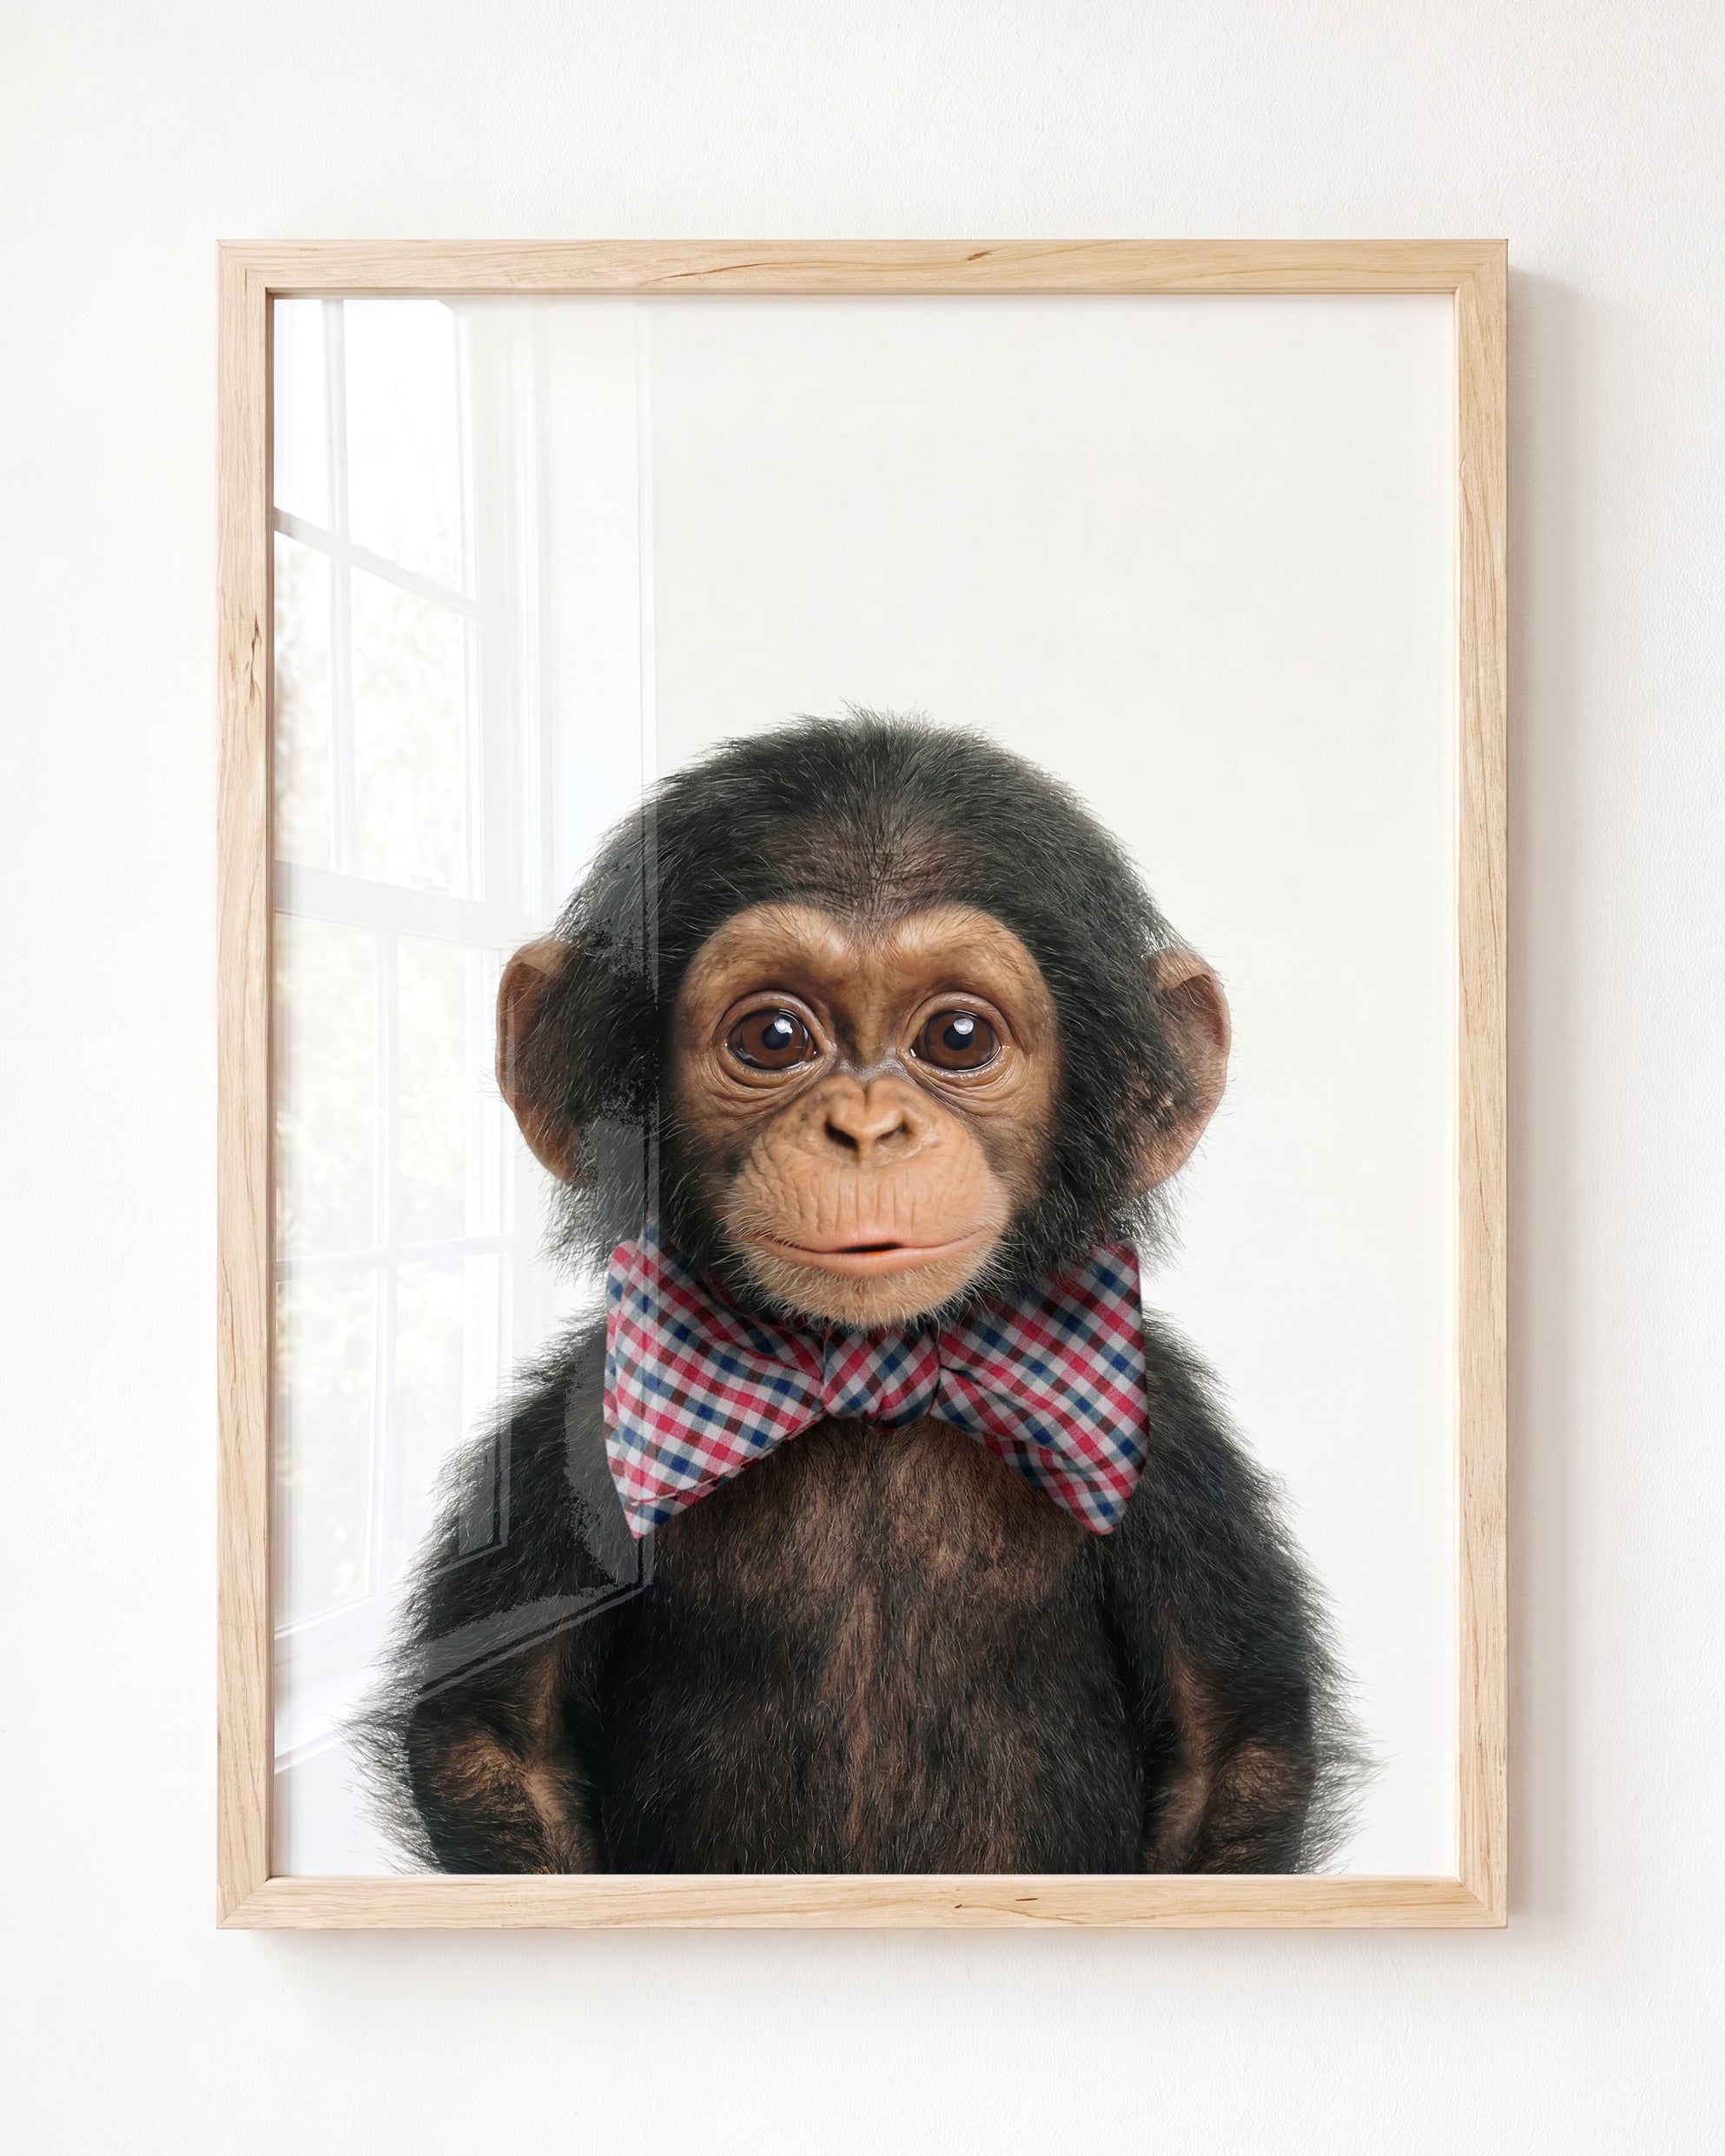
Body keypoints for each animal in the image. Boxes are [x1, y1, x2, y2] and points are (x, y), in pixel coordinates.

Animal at [359, 713, 1365, 1874]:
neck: (871, 1373)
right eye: (773, 1037)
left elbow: (1229, 1748)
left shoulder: (1176, 1449)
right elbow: (497, 1738)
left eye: (958, 1038)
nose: (868, 1127)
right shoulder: (570, 1428)